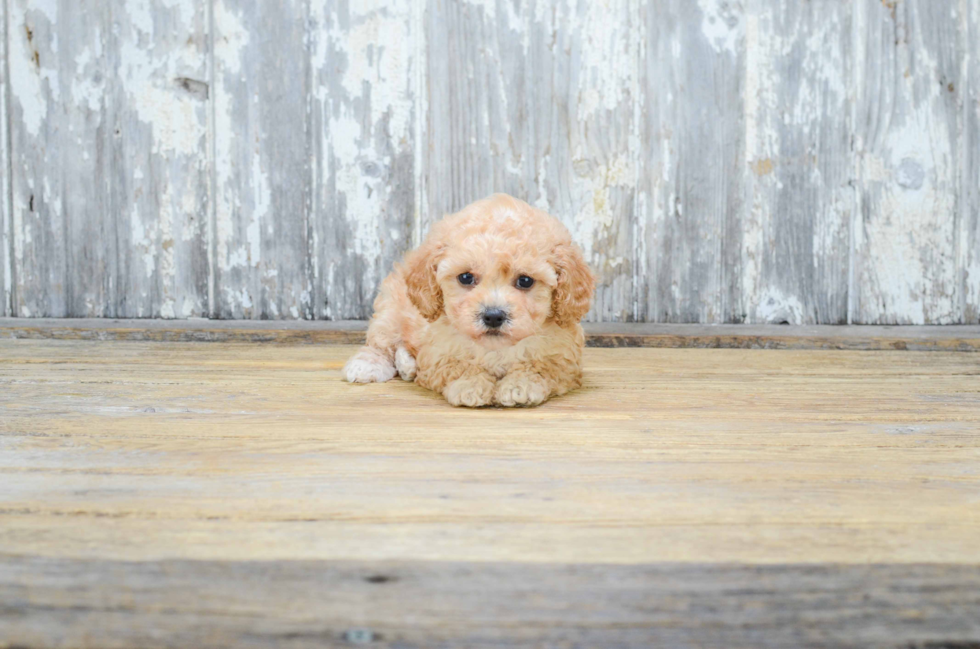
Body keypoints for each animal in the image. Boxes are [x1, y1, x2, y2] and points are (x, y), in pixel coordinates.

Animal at [340, 190, 592, 408]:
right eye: (466, 277)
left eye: (525, 281)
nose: (493, 316)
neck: (496, 348)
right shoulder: (438, 353)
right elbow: (457, 365)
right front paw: (470, 386)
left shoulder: (563, 357)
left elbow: (540, 366)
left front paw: (520, 386)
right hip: (391, 310)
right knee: (380, 343)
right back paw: (368, 365)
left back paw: (407, 366)